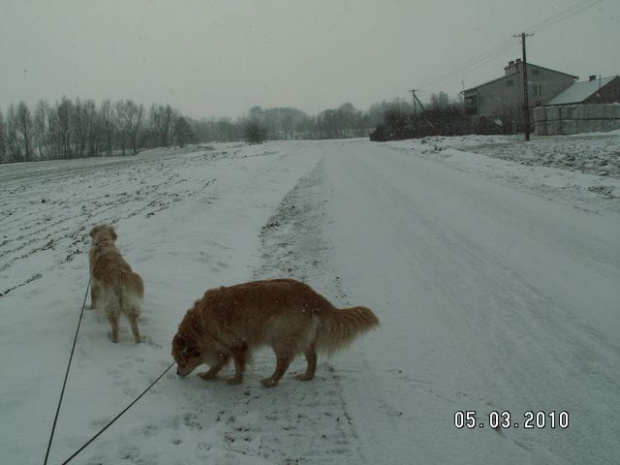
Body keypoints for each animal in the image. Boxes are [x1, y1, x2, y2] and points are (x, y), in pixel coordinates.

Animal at [172, 278, 380, 386]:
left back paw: (271, 381)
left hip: (279, 336)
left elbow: (238, 365)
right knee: (312, 357)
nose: (177, 373)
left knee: (283, 363)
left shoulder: (237, 344)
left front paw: (236, 380)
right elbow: (218, 362)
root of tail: (312, 296)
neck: (200, 323)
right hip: (300, 338)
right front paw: (209, 374)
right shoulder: (224, 346)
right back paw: (307, 376)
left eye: (180, 360)